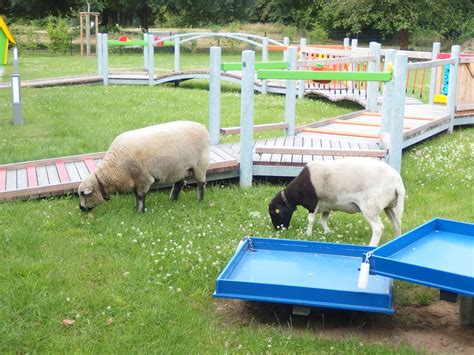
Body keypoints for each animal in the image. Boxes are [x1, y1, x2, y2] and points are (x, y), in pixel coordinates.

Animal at [78, 121, 209, 213]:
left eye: (84, 195)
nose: (81, 208)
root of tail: (203, 127)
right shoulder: (134, 180)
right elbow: (135, 195)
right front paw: (135, 207)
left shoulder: (143, 178)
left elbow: (141, 196)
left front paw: (140, 211)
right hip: (178, 168)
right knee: (179, 183)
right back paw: (173, 199)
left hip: (200, 164)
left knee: (201, 183)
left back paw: (200, 200)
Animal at [268, 159, 406, 248]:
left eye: (275, 212)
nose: (278, 230)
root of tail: (398, 184)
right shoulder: (327, 206)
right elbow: (322, 221)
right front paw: (329, 233)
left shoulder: (312, 204)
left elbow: (311, 220)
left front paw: (308, 235)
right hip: (389, 207)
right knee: (397, 224)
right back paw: (396, 240)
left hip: (370, 207)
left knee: (378, 228)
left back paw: (371, 246)